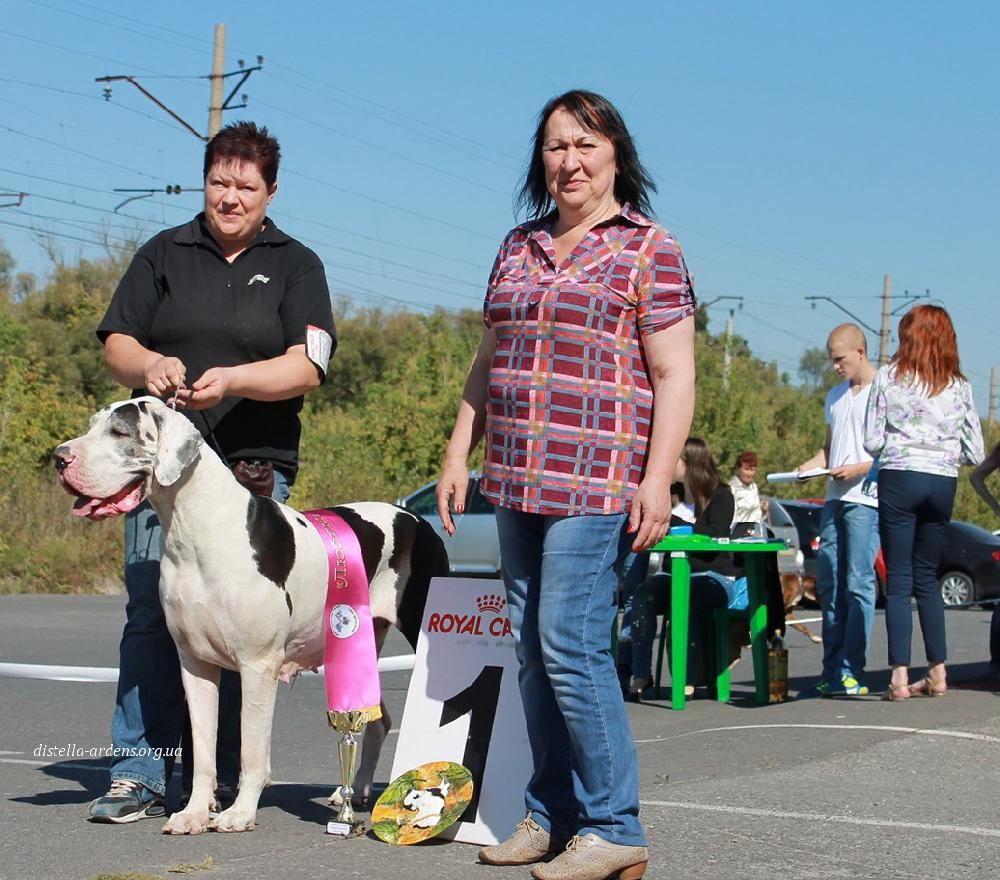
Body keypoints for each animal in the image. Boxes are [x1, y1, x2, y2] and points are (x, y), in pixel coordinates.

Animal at [54, 397, 449, 834]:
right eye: (92, 425)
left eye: (119, 432)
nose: (59, 457)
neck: (196, 529)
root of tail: (416, 518)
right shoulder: (195, 666)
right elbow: (203, 752)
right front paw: (194, 813)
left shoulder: (257, 666)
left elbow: (251, 750)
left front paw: (240, 813)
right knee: (378, 718)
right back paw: (355, 789)